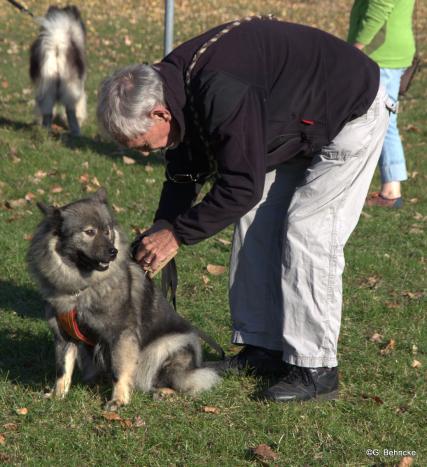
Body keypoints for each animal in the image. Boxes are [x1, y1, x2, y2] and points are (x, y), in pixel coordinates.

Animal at [27, 189, 221, 410]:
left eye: (107, 231)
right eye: (90, 232)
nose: (113, 252)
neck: (81, 288)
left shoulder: (121, 335)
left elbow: (120, 371)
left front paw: (118, 400)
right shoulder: (63, 336)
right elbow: (63, 369)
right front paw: (58, 395)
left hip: (163, 348)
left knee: (174, 381)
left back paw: (163, 392)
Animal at [29, 6, 87, 136]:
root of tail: (56, 42)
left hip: (46, 84)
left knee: (47, 110)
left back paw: (45, 131)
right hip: (71, 86)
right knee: (71, 111)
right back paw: (76, 131)